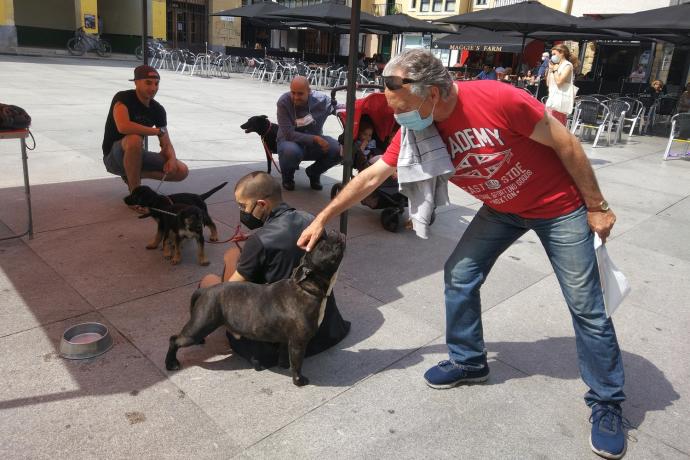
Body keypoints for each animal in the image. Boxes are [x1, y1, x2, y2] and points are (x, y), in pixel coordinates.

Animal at [161, 229, 344, 384]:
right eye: (323, 246)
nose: (333, 231)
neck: (306, 288)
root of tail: (205, 290)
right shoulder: (298, 343)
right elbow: (298, 363)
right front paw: (299, 381)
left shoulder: (288, 340)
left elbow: (287, 356)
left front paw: (285, 366)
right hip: (200, 326)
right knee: (174, 340)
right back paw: (171, 363)